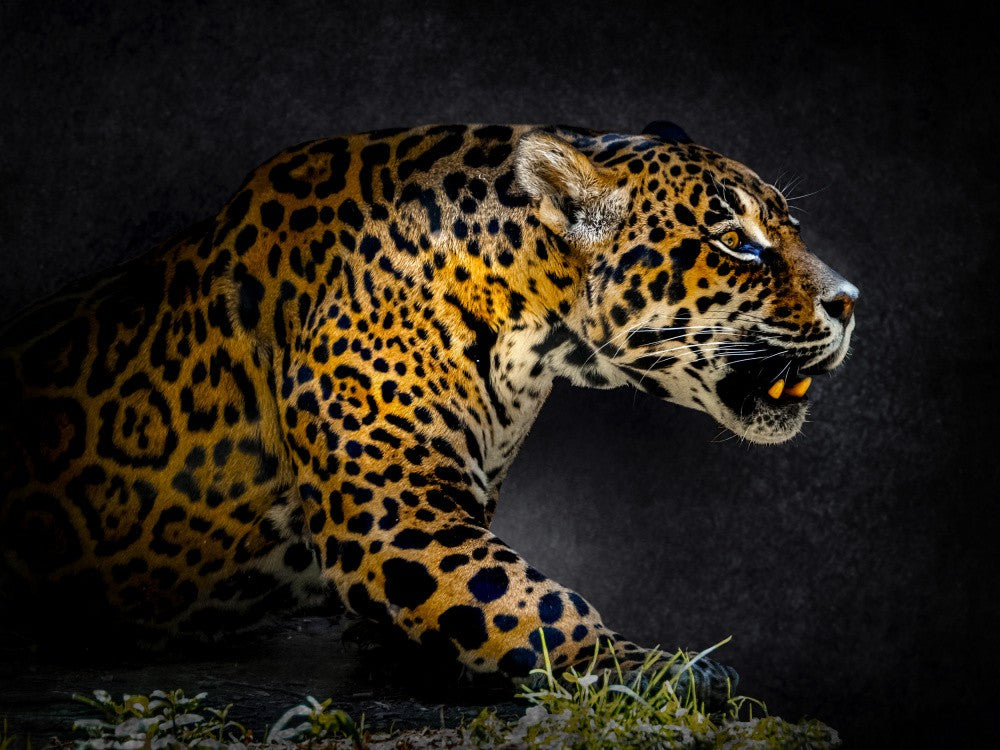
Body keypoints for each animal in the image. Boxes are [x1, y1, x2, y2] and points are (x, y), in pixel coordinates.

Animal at [0, 122, 857, 705]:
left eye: (788, 226)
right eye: (734, 240)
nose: (851, 301)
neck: (530, 326)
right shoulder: (398, 516)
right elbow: (543, 603)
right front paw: (658, 669)